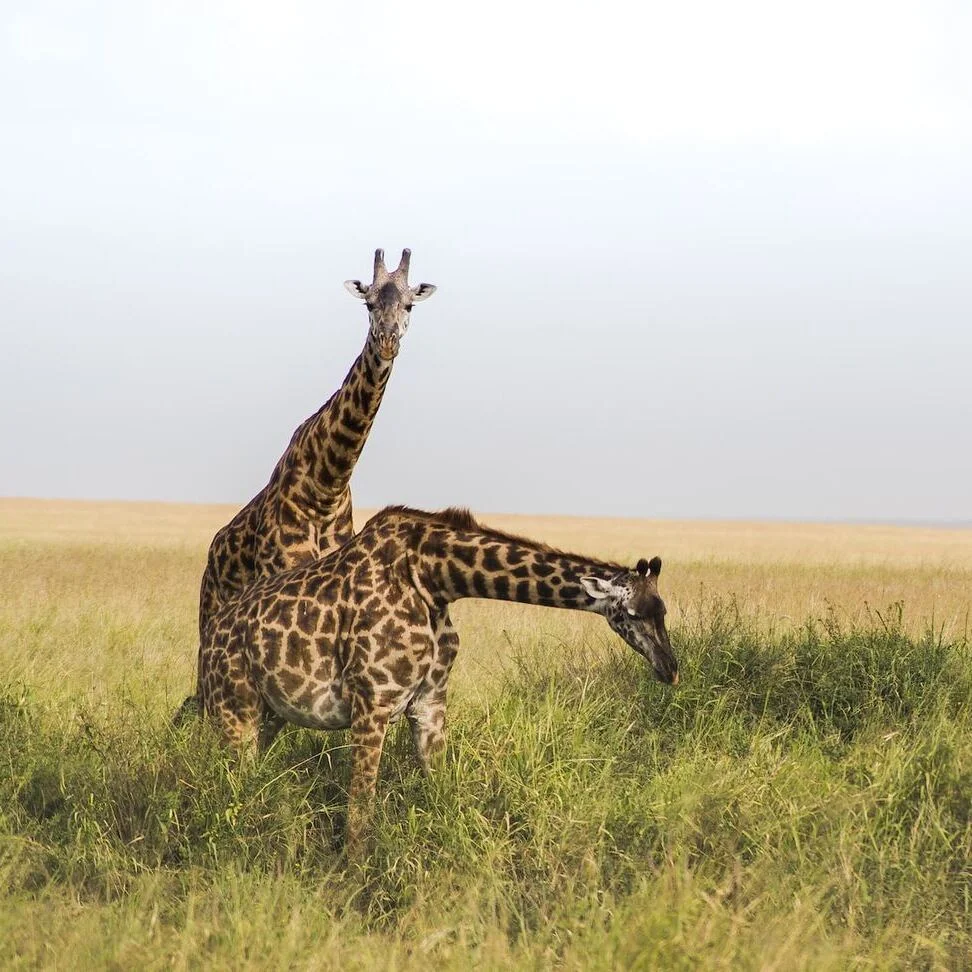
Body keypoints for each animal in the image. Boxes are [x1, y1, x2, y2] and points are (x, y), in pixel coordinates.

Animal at [180, 249, 436, 718]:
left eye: (410, 305)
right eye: (369, 303)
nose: (387, 341)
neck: (327, 482)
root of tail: (212, 555)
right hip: (210, 614)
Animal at [199, 506, 678, 850]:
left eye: (664, 610)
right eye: (632, 613)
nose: (670, 669)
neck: (434, 578)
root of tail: (211, 634)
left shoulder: (430, 703)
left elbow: (444, 794)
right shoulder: (372, 703)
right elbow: (360, 814)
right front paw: (355, 883)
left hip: (270, 714)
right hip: (234, 707)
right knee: (228, 785)